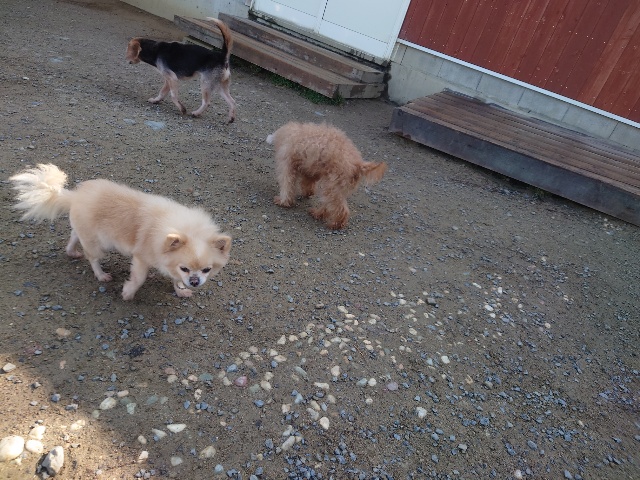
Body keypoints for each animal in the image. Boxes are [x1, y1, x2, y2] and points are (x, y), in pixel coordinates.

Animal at [9, 164, 232, 300]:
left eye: (206, 270)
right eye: (185, 268)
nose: (195, 282)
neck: (186, 229)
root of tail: (74, 196)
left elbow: (175, 279)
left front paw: (181, 290)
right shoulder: (142, 258)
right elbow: (139, 278)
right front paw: (128, 292)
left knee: (74, 236)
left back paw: (71, 251)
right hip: (98, 244)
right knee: (92, 258)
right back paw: (101, 275)